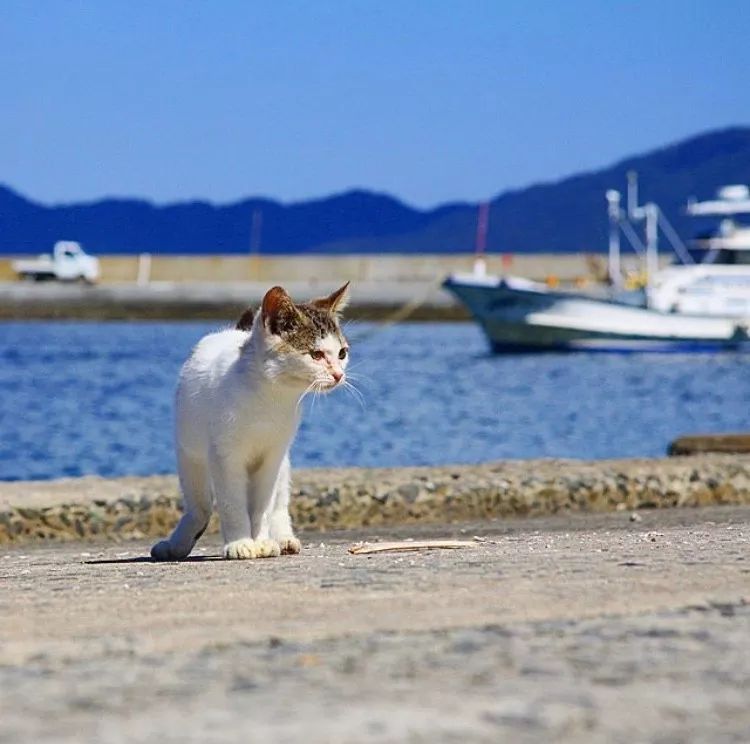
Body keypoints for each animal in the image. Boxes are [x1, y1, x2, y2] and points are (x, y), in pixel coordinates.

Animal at [154, 282, 354, 560]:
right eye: (316, 355)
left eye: (342, 353)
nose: (338, 374)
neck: (271, 397)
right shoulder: (225, 456)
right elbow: (232, 503)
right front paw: (240, 542)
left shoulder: (272, 455)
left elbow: (263, 505)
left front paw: (262, 540)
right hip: (190, 455)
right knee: (199, 507)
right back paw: (176, 543)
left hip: (282, 463)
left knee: (278, 502)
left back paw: (283, 538)